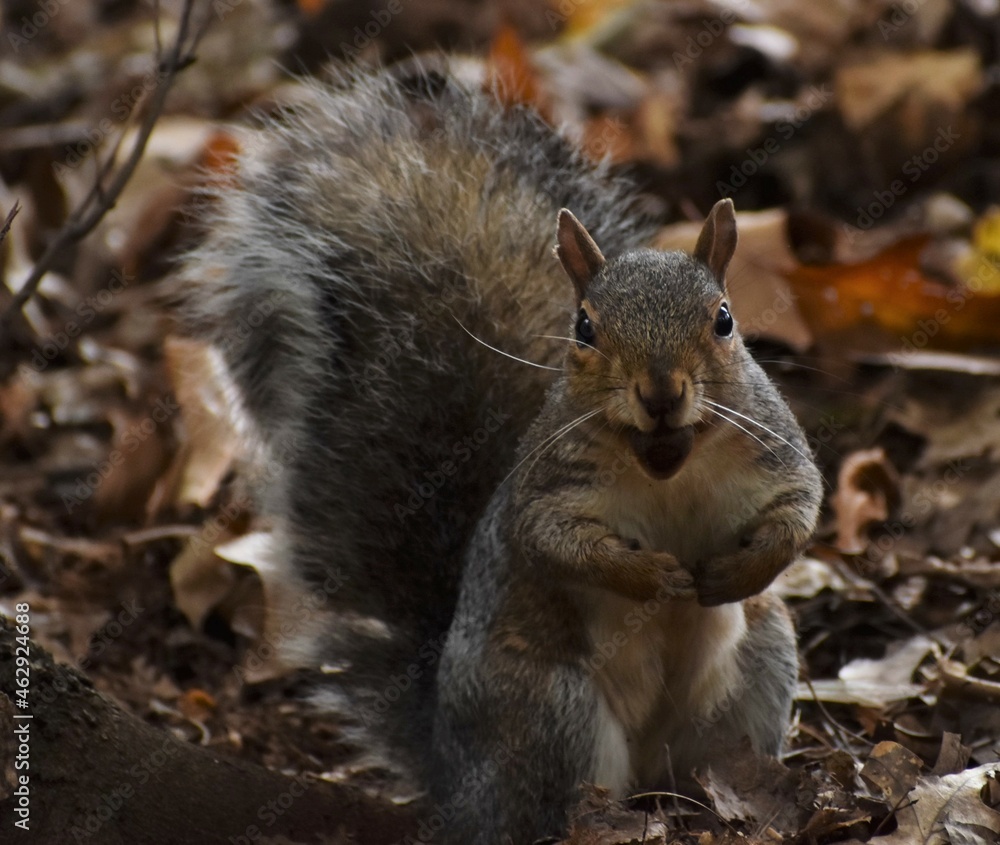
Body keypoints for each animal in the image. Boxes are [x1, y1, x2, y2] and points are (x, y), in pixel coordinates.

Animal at [180, 62, 823, 844]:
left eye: (724, 319)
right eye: (585, 328)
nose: (661, 391)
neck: (666, 459)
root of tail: (453, 772)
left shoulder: (771, 449)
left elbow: (799, 509)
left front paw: (737, 570)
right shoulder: (547, 488)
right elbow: (556, 541)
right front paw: (651, 574)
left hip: (760, 663)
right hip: (549, 711)